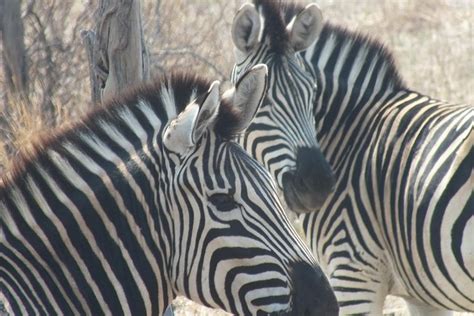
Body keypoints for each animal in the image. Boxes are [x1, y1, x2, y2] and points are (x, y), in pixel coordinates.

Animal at [231, 0, 472, 316]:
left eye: (312, 94)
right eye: (263, 100)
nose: (318, 185)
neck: (351, 137)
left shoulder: (354, 273)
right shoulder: (422, 295)